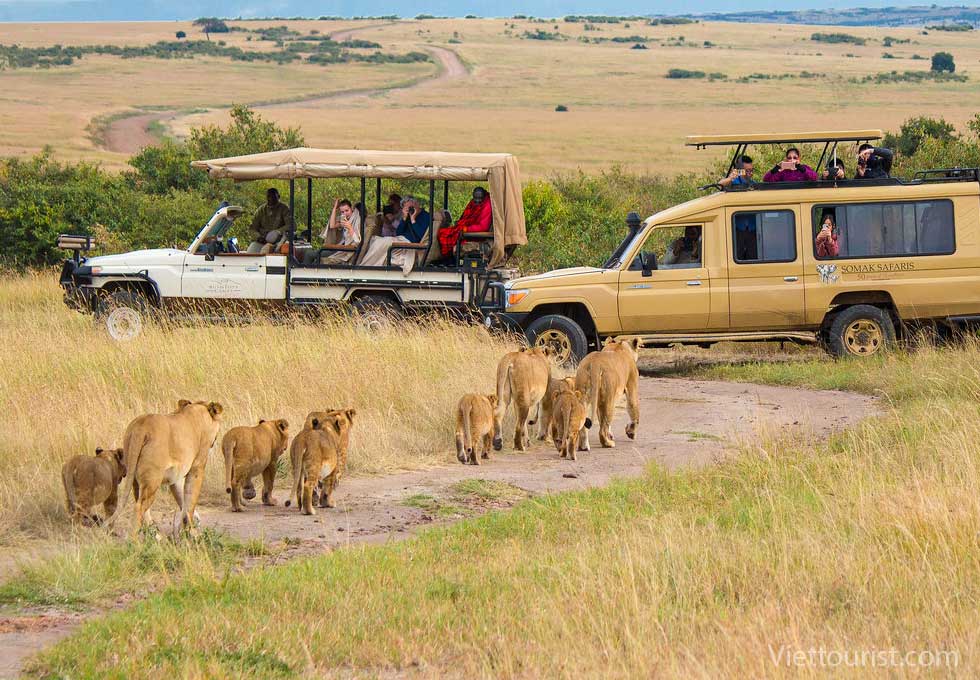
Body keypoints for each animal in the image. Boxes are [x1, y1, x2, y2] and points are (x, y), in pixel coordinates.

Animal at [116, 398, 223, 536]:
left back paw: (156, 535)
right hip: (153, 479)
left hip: (134, 476)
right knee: (139, 507)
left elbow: (183, 501)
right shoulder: (197, 467)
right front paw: (193, 533)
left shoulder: (176, 476)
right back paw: (134, 539)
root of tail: (141, 426)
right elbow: (190, 501)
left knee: (141, 504)